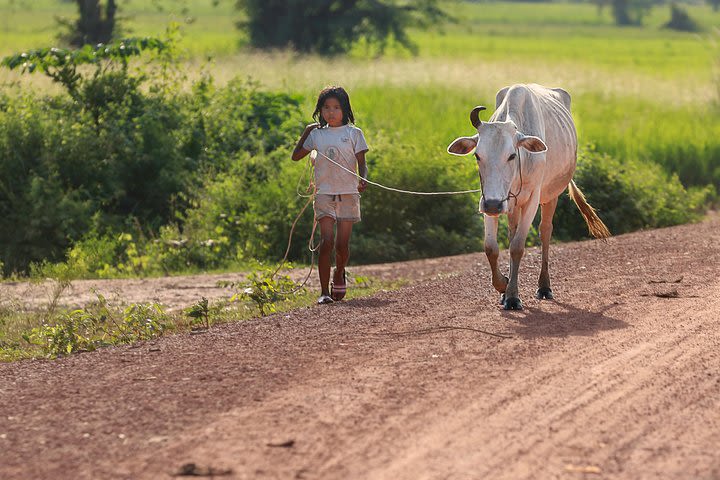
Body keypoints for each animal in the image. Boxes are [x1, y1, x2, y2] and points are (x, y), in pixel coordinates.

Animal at [450, 84, 608, 310]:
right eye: (477, 156)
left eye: (511, 155)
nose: (493, 205)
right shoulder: (488, 199)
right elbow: (491, 248)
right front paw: (503, 286)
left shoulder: (532, 199)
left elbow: (517, 247)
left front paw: (513, 297)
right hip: (512, 206)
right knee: (512, 232)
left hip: (551, 195)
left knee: (545, 232)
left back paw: (544, 286)